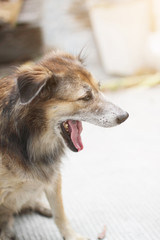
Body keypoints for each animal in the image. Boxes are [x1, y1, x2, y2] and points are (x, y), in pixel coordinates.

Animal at [0, 51, 128, 240]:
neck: (29, 137)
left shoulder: (53, 176)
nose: (125, 116)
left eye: (99, 87)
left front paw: (71, 235)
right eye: (85, 97)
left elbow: (60, 213)